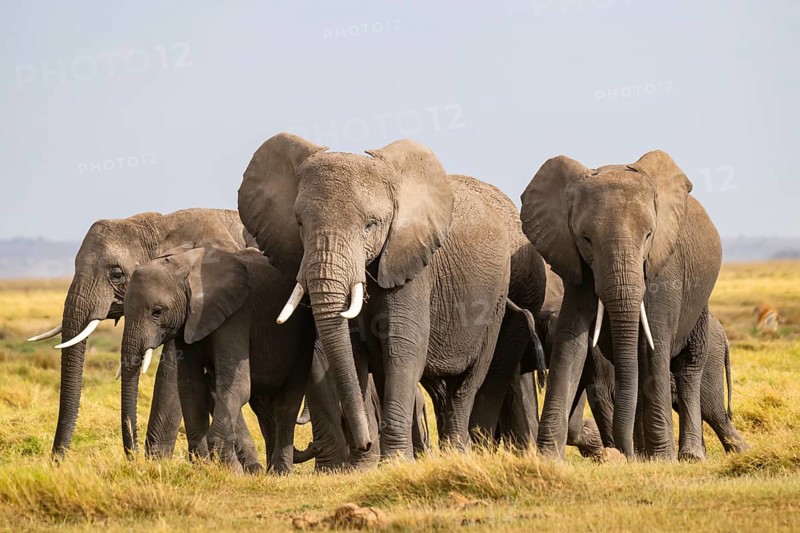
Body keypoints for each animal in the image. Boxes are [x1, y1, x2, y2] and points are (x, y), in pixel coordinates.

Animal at [119, 246, 315, 473]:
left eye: (157, 312)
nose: (133, 457)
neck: (184, 265)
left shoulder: (236, 316)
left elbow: (237, 385)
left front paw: (233, 472)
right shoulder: (188, 324)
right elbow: (190, 387)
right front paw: (204, 468)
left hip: (303, 343)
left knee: (287, 405)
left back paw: (280, 472)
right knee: (265, 410)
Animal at [238, 133, 530, 459]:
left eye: (371, 225)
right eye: (299, 223)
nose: (364, 442)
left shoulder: (414, 263)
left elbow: (404, 347)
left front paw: (395, 461)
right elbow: (353, 351)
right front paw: (367, 463)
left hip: (496, 298)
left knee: (468, 382)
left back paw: (456, 453)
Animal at [522, 151, 722, 460]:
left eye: (649, 235)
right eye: (586, 238)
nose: (622, 453)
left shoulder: (665, 264)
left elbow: (655, 344)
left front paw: (662, 460)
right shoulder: (576, 265)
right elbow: (571, 342)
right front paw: (548, 458)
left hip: (700, 306)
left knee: (687, 366)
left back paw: (687, 455)